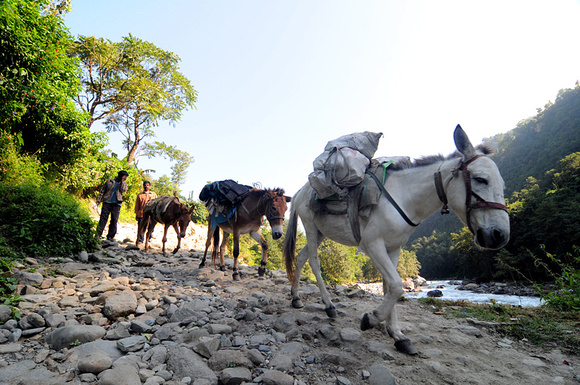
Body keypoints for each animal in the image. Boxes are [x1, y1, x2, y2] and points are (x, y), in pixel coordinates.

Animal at [284, 125, 508, 354]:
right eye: (481, 179)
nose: (500, 236)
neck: (403, 198)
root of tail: (301, 190)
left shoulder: (393, 248)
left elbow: (389, 287)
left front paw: (398, 336)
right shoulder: (372, 244)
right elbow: (397, 285)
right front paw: (371, 319)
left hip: (322, 232)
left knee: (300, 257)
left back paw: (296, 298)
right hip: (311, 227)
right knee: (313, 262)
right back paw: (329, 306)